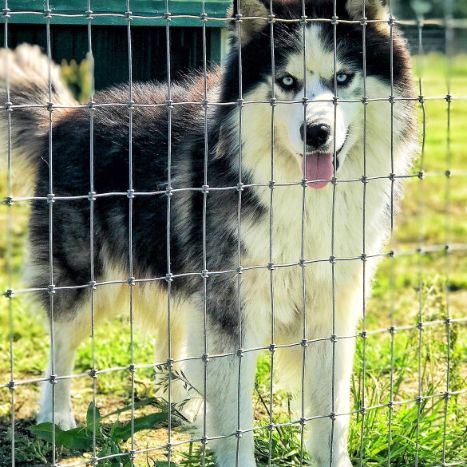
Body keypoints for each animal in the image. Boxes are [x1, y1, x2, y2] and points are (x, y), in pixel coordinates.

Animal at [0, 0, 416, 466]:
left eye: (343, 77)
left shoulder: (331, 312)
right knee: (61, 344)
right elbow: (235, 421)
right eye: (286, 81)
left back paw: (185, 405)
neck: (302, 200)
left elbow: (332, 418)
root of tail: (66, 116)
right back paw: (56, 416)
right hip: (85, 280)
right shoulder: (231, 314)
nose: (317, 133)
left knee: (170, 346)